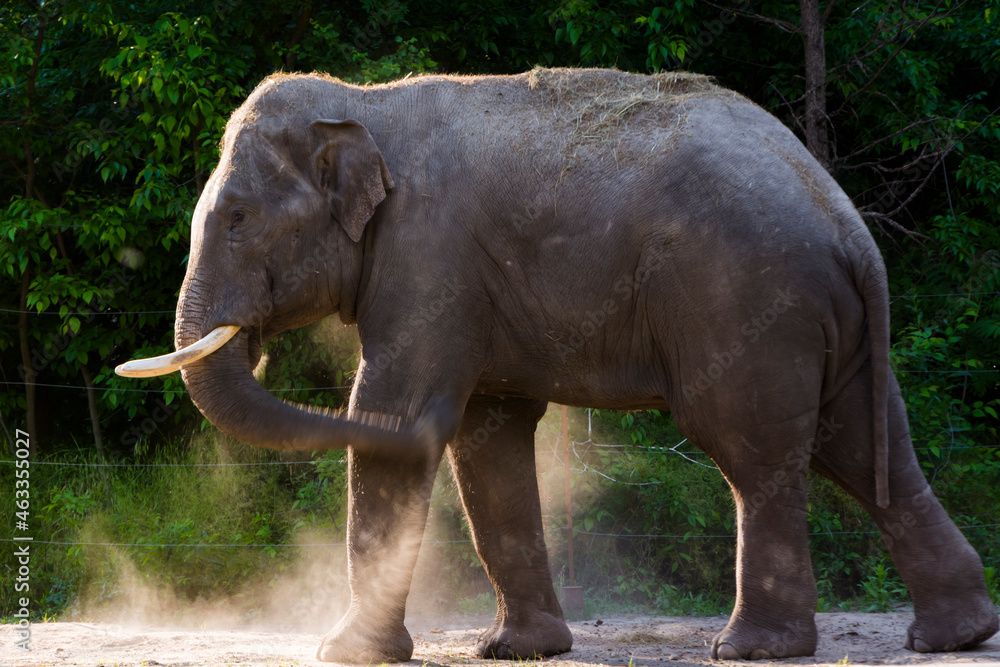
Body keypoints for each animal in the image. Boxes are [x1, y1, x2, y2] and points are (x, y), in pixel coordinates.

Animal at [117, 67, 998, 661]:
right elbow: (488, 440)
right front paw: (519, 648)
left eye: (236, 219)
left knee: (756, 452)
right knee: (863, 445)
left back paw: (751, 648)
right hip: (826, 322)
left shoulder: (429, 257)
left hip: (747, 301)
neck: (365, 103)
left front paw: (348, 652)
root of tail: (845, 220)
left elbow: (404, 411)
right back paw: (956, 634)